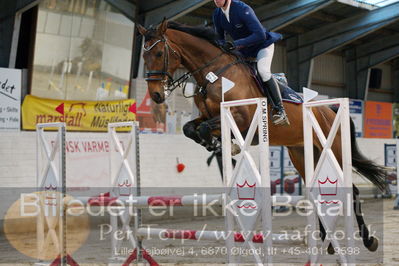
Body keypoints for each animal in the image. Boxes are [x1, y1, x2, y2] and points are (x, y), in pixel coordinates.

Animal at [138, 19, 388, 252]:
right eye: (144, 56)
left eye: (159, 53)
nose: (157, 95)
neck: (214, 74)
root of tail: (330, 110)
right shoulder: (208, 117)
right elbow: (192, 128)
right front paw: (216, 145)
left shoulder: (243, 120)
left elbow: (204, 128)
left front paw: (223, 145)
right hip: (303, 155)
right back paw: (327, 242)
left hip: (334, 150)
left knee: (352, 190)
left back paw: (368, 241)